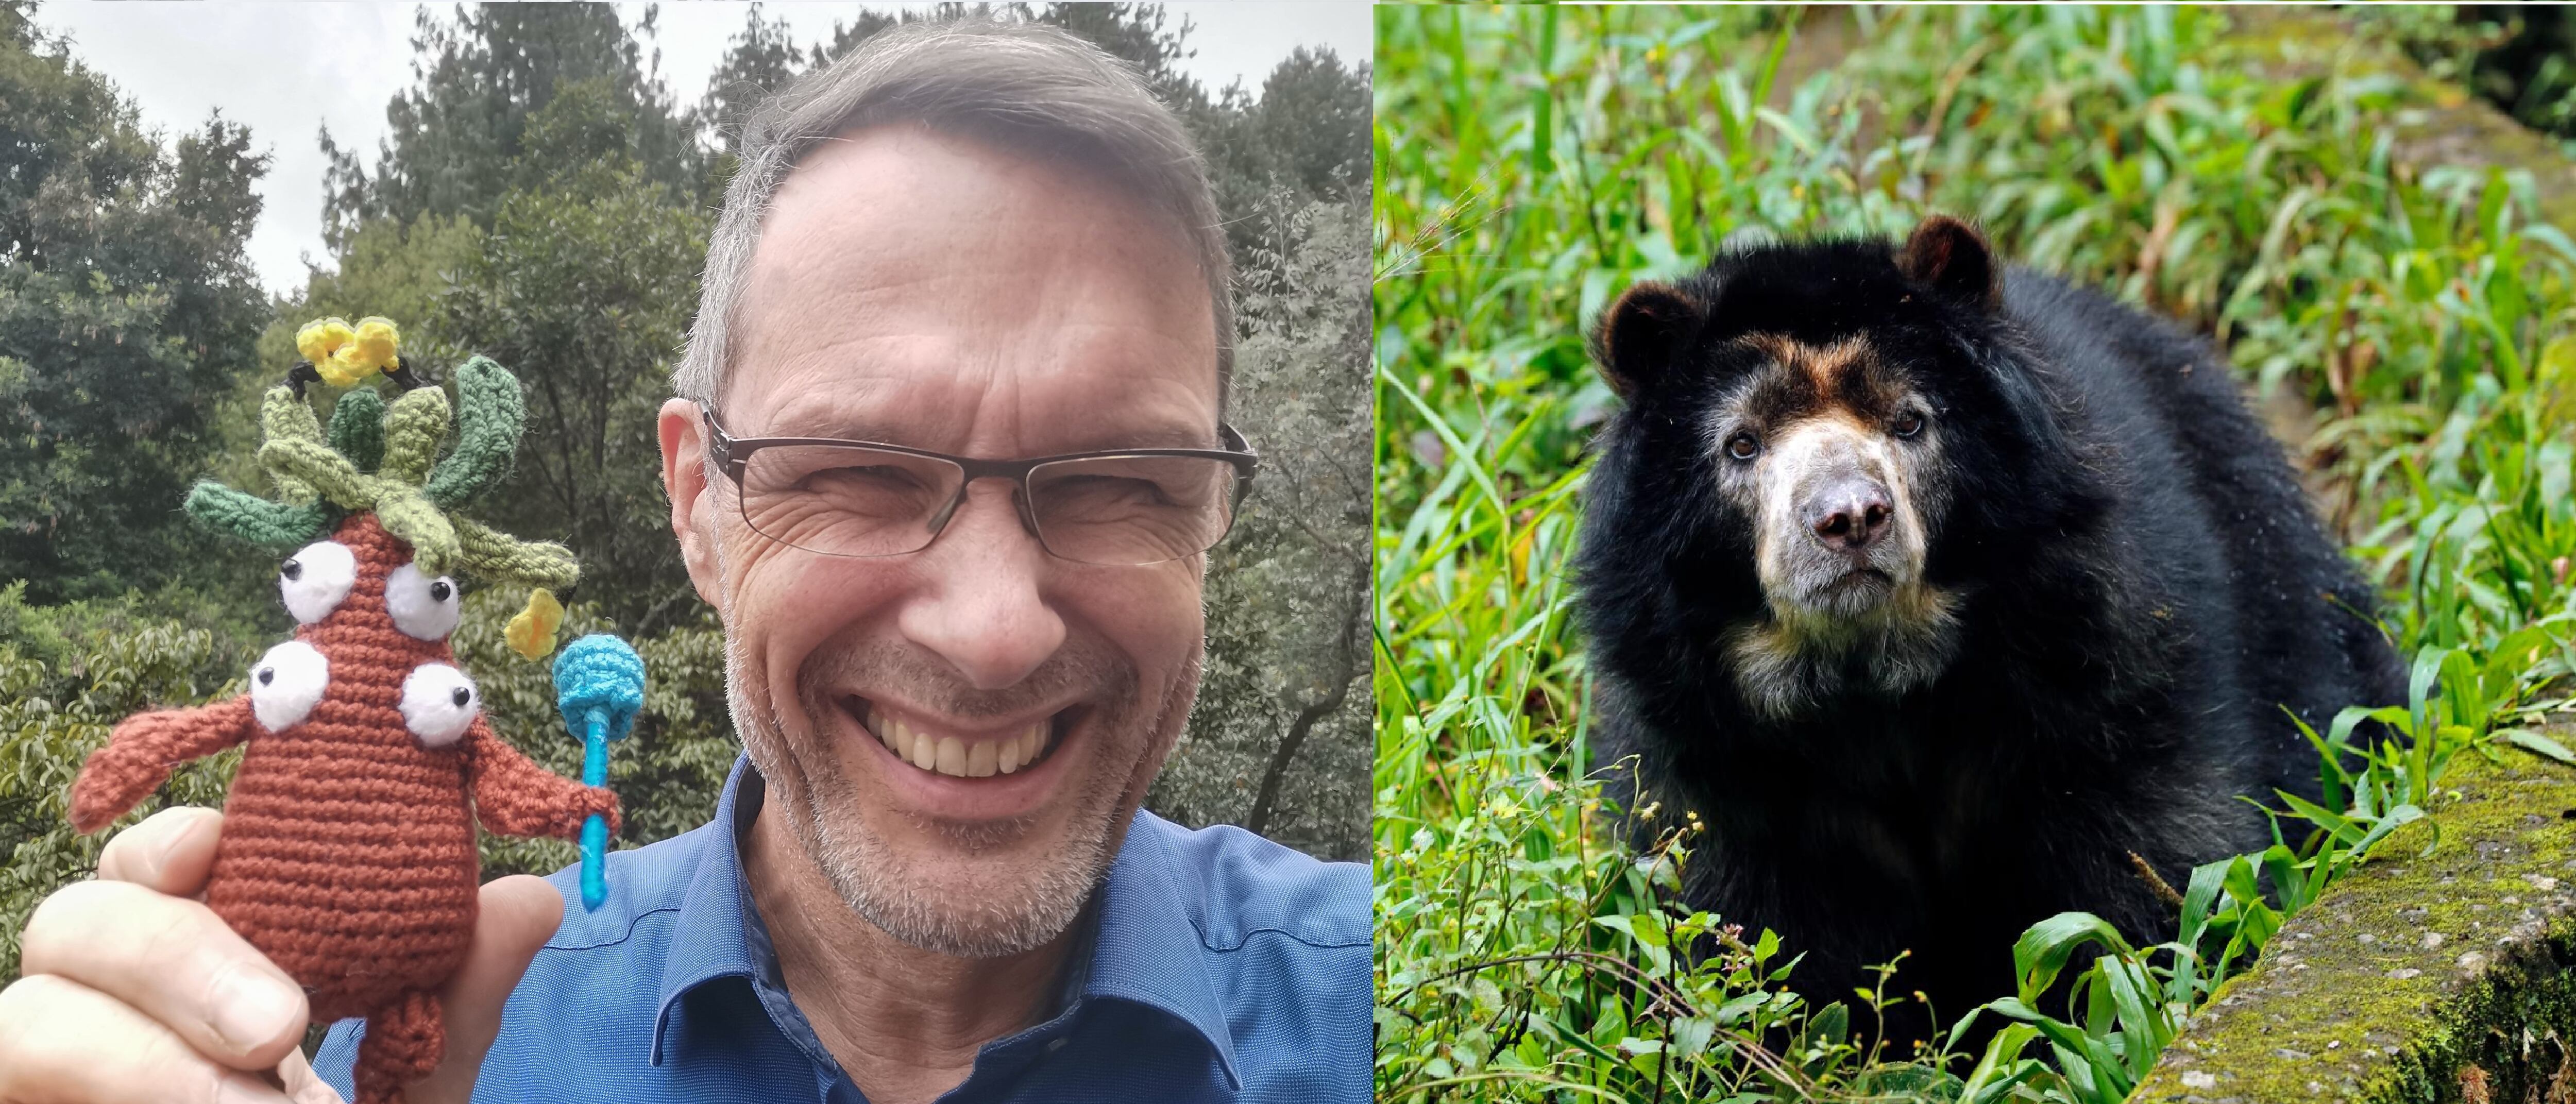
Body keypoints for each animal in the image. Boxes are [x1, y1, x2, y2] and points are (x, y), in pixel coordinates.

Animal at [1574, 214, 2404, 1051]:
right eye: (1741, 444)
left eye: (1910, 420)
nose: (1849, 518)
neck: (1875, 687)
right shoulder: (1717, 759)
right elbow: (1750, 926)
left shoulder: (2097, 677)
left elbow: (2153, 867)